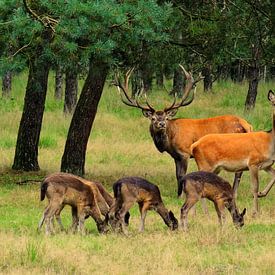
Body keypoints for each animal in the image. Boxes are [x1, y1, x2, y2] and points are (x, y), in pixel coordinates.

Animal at [113, 66, 253, 197]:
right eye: (153, 118)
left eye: (166, 117)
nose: (161, 124)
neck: (170, 140)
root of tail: (246, 124)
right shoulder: (176, 156)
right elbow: (177, 175)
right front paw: (178, 194)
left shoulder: (185, 152)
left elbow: (182, 175)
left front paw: (181, 195)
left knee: (238, 171)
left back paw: (234, 193)